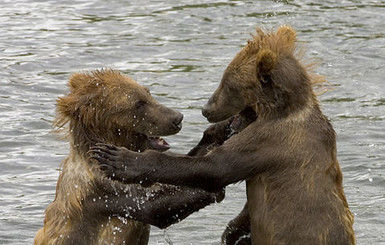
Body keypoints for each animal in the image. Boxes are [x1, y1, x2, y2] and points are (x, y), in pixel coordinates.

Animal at [35, 69, 224, 245]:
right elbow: (155, 207)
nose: (177, 118)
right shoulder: (101, 191)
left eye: (148, 92)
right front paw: (213, 189)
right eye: (139, 103)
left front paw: (220, 131)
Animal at [90, 26, 354, 245]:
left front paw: (118, 159)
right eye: (224, 79)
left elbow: (214, 167)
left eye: (228, 85)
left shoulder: (271, 143)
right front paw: (234, 233)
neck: (280, 111)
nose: (205, 109)